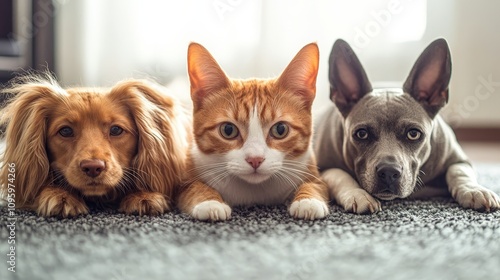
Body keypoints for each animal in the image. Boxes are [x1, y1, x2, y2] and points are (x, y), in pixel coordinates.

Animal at [178, 42, 330, 221]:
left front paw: (308, 200)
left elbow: (315, 185)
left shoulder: (315, 173)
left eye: (280, 129)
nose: (255, 159)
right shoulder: (183, 181)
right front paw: (209, 202)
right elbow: (193, 187)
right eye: (228, 130)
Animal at [314, 38, 500, 213]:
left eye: (413, 134)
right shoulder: (320, 168)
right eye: (361, 134)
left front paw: (474, 190)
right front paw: (357, 194)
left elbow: (458, 172)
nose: (389, 172)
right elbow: (339, 174)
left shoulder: (460, 160)